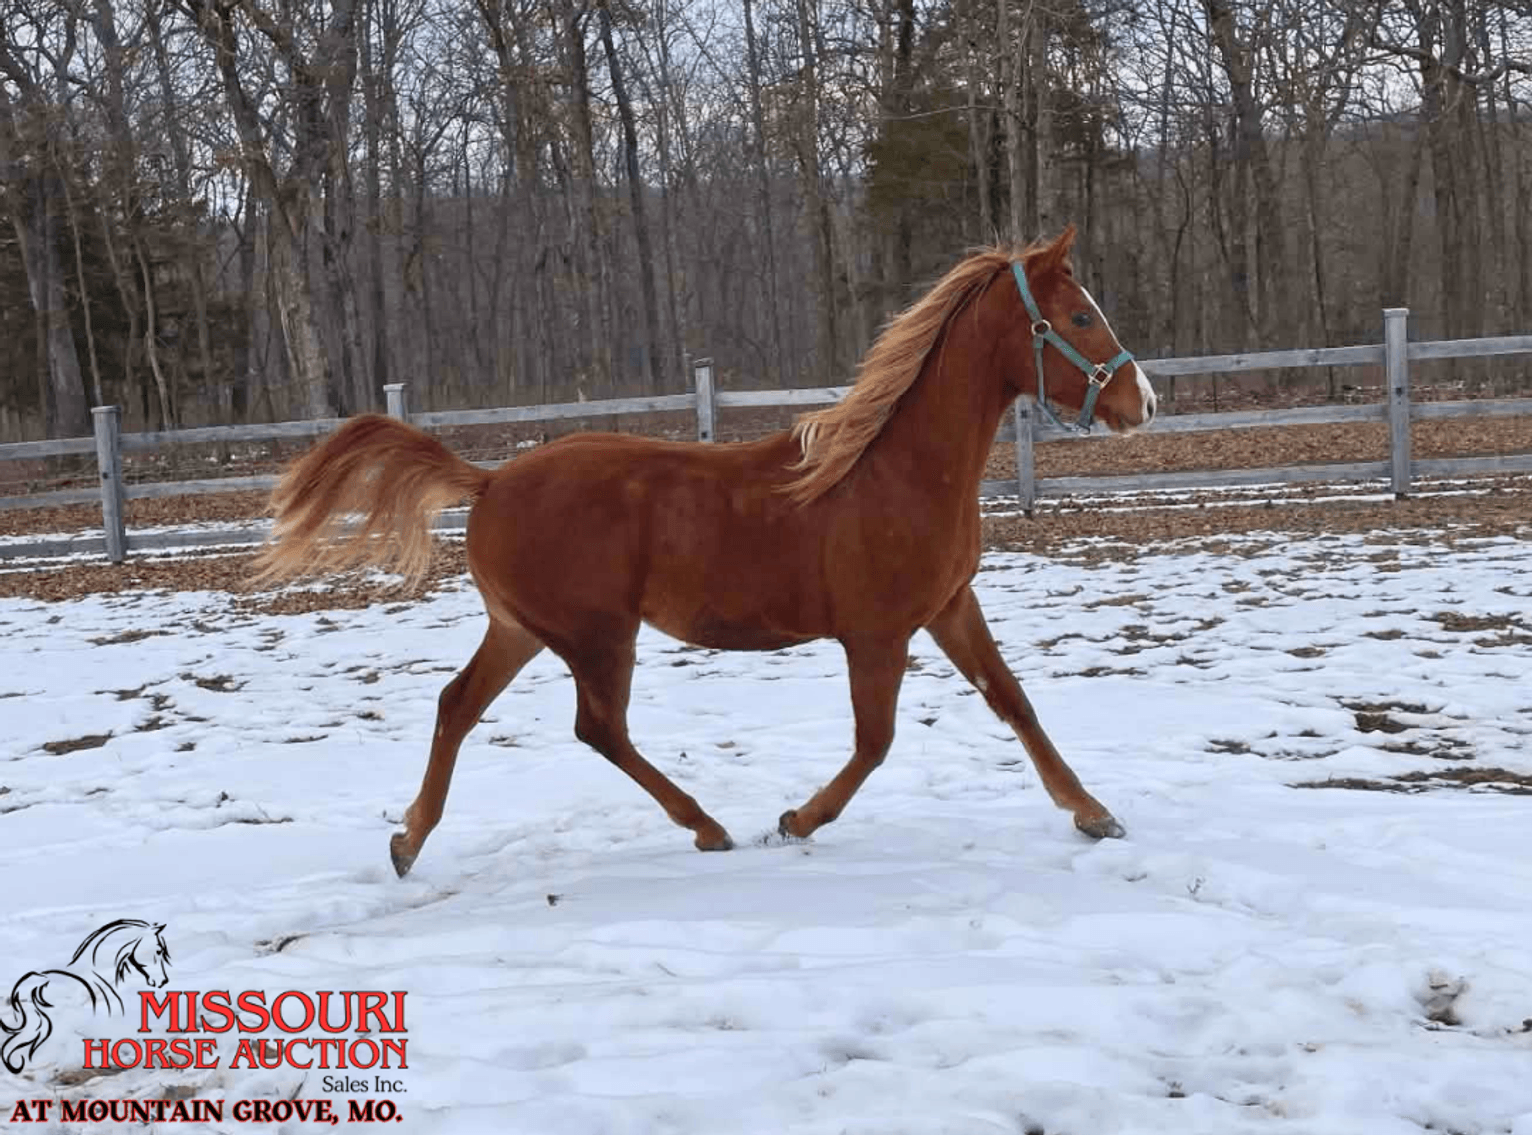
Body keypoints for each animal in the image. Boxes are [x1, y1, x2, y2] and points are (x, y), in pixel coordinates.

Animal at [257, 225, 1157, 878]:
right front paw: (795, 821)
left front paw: (1095, 813)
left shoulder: (948, 607)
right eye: (1079, 316)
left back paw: (409, 842)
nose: (1141, 399)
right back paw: (708, 826)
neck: (891, 470)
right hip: (597, 636)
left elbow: (1015, 701)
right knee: (598, 727)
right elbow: (875, 742)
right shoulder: (876, 635)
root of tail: (490, 480)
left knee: (457, 705)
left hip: (521, 629)